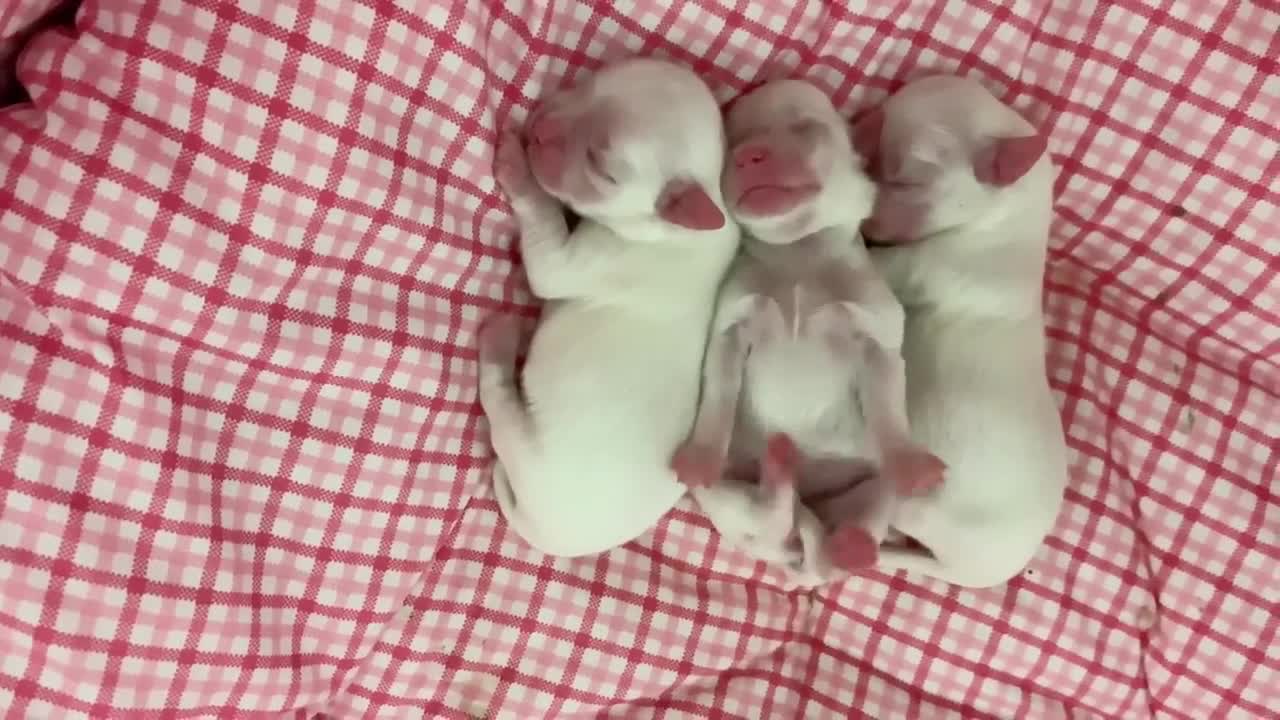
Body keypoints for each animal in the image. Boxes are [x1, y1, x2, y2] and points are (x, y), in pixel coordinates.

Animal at [481, 58, 742, 558]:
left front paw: (516, 168)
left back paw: (497, 350)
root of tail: (541, 531)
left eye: (602, 169)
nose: (539, 130)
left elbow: (544, 237)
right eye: (589, 84)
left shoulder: (577, 262)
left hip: (532, 450)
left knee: (500, 409)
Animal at [675, 81, 947, 579]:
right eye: (733, 142)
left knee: (872, 504)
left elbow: (887, 400)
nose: (748, 155)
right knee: (765, 513)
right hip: (729, 485)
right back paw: (780, 471)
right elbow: (719, 386)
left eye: (805, 127)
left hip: (875, 484)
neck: (798, 252)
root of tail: (811, 503)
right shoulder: (731, 325)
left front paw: (910, 459)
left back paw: (852, 544)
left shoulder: (876, 332)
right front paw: (701, 452)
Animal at [844, 75, 1075, 586]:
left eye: (908, 175)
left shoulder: (921, 268)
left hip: (928, 509)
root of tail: (983, 572)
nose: (863, 121)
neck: (1003, 222)